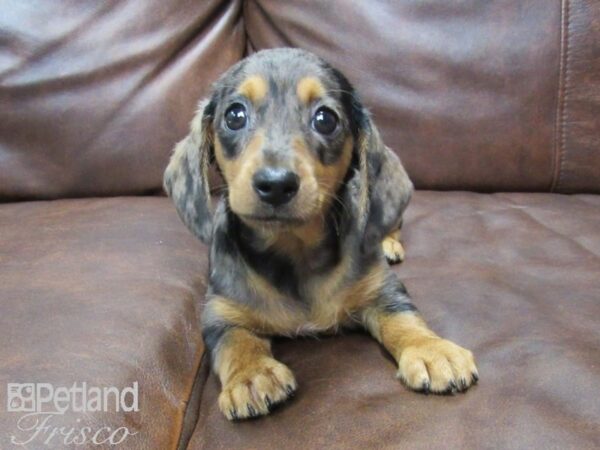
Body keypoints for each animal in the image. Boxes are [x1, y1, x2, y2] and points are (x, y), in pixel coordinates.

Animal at [164, 48, 478, 422]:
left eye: (325, 119)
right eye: (234, 115)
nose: (276, 184)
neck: (293, 251)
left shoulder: (383, 289)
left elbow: (404, 317)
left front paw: (431, 350)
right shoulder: (220, 312)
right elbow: (237, 342)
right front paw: (252, 375)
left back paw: (389, 243)